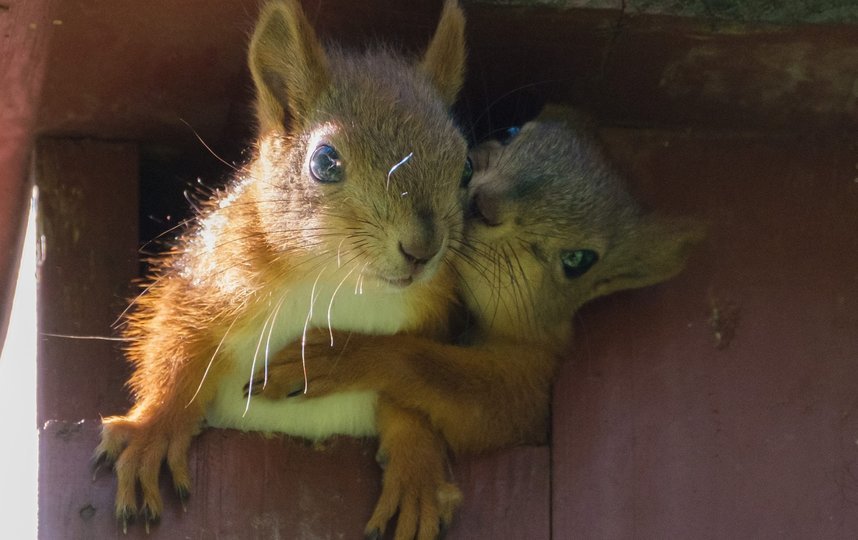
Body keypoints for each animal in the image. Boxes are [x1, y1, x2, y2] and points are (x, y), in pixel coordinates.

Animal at [96, 0, 472, 532]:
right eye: (325, 162)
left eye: (466, 169)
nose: (423, 249)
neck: (336, 281)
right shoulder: (212, 278)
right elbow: (177, 345)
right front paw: (153, 431)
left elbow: (410, 400)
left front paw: (417, 470)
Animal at [251, 103, 704, 536]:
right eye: (511, 130)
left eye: (578, 261)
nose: (485, 204)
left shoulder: (531, 383)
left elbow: (466, 396)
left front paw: (339, 355)